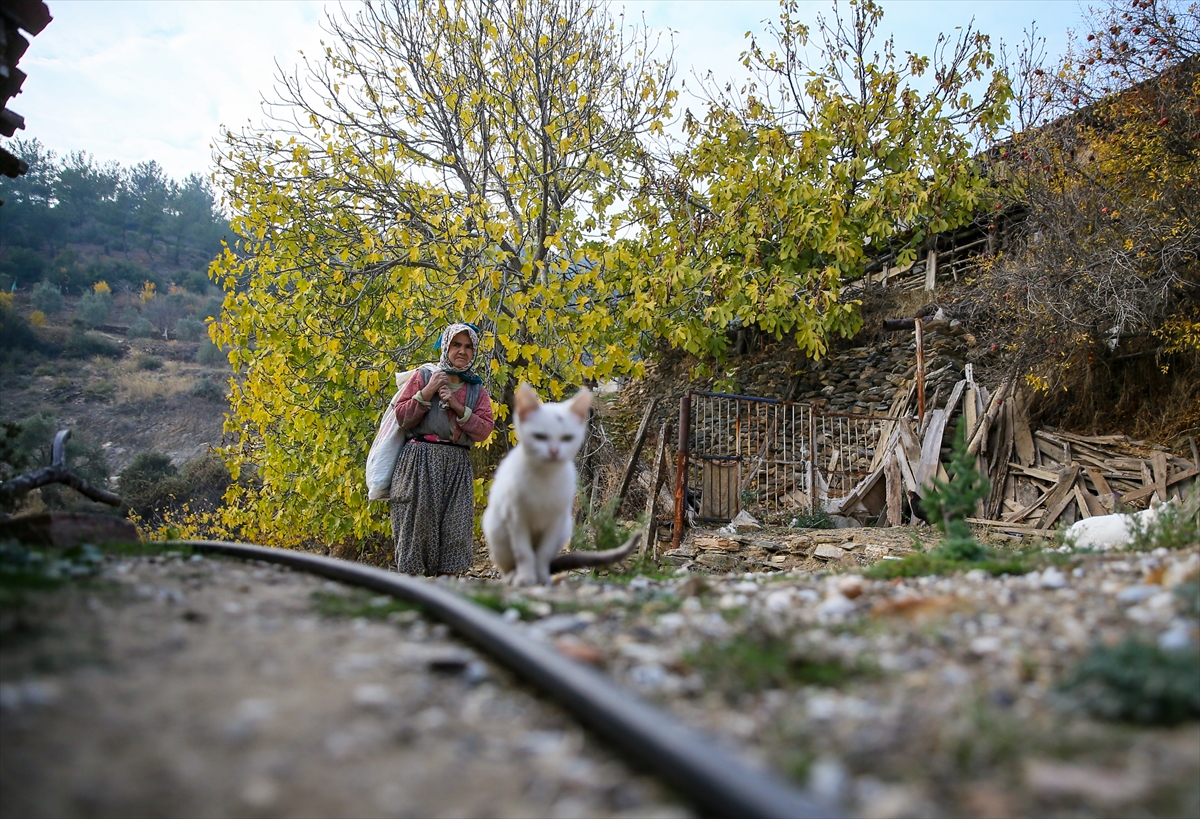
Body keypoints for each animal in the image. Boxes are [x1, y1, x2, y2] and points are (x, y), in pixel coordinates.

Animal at [482, 384, 643, 583]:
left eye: (567, 438)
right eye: (540, 436)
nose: (554, 451)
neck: (545, 477)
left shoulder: (556, 522)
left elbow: (542, 554)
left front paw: (542, 578)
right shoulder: (516, 519)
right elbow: (524, 553)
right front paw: (526, 578)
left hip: (565, 527)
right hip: (496, 529)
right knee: (507, 564)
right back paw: (512, 577)